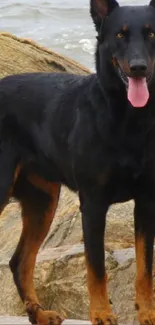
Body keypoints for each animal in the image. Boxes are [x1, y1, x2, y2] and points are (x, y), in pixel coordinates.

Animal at [0, 0, 155, 322]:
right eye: (120, 35)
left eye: (150, 33)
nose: (138, 67)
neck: (126, 121)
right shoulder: (93, 204)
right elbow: (96, 269)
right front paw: (102, 315)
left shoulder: (147, 201)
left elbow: (145, 269)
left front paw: (148, 314)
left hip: (42, 202)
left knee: (20, 261)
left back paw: (39, 314)